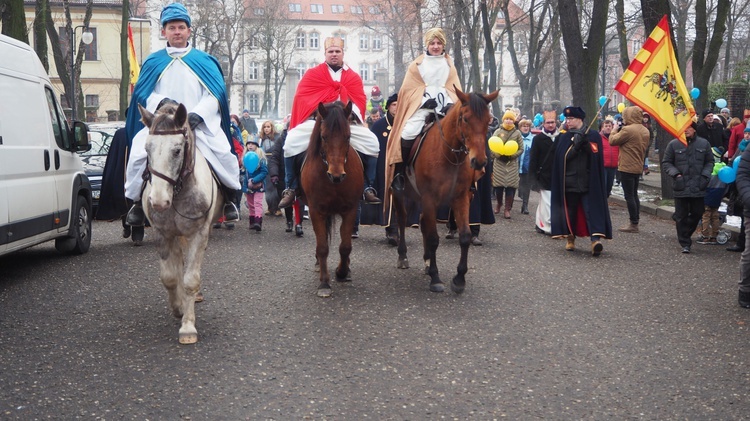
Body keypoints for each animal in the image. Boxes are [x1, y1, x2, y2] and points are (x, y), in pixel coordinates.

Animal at [138, 103, 225, 342]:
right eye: (147, 149)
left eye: (177, 150)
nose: (158, 201)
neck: (178, 193)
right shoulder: (162, 234)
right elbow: (169, 277)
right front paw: (178, 308)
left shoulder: (199, 234)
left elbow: (190, 280)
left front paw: (188, 326)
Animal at [302, 100, 368, 296]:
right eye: (324, 137)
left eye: (348, 137)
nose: (337, 176)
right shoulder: (316, 210)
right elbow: (323, 246)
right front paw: (324, 282)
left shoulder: (350, 210)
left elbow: (345, 246)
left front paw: (342, 272)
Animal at [394, 88, 500, 292]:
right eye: (465, 118)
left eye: (488, 120)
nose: (479, 161)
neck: (449, 154)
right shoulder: (430, 198)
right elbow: (434, 238)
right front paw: (435, 278)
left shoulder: (461, 198)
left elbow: (465, 236)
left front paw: (459, 279)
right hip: (400, 193)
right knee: (402, 218)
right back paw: (403, 256)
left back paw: (427, 260)